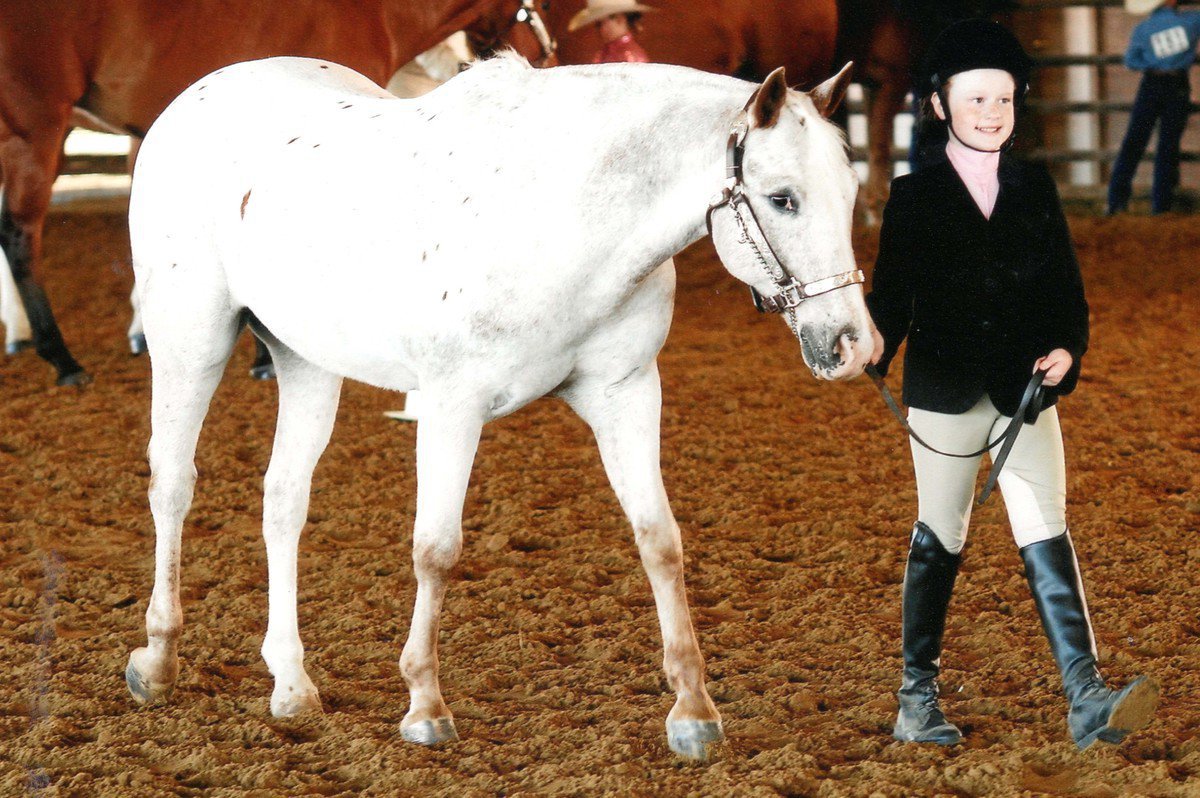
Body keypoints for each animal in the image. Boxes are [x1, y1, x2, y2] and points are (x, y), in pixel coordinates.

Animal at [124, 53, 870, 760]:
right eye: (782, 198)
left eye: (852, 191)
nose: (853, 345)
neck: (561, 215)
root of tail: (195, 96)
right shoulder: (450, 405)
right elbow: (436, 549)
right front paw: (425, 707)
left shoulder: (627, 392)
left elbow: (660, 540)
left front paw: (693, 712)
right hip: (190, 342)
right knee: (173, 486)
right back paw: (157, 660)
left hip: (305, 360)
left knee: (283, 500)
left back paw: (291, 685)